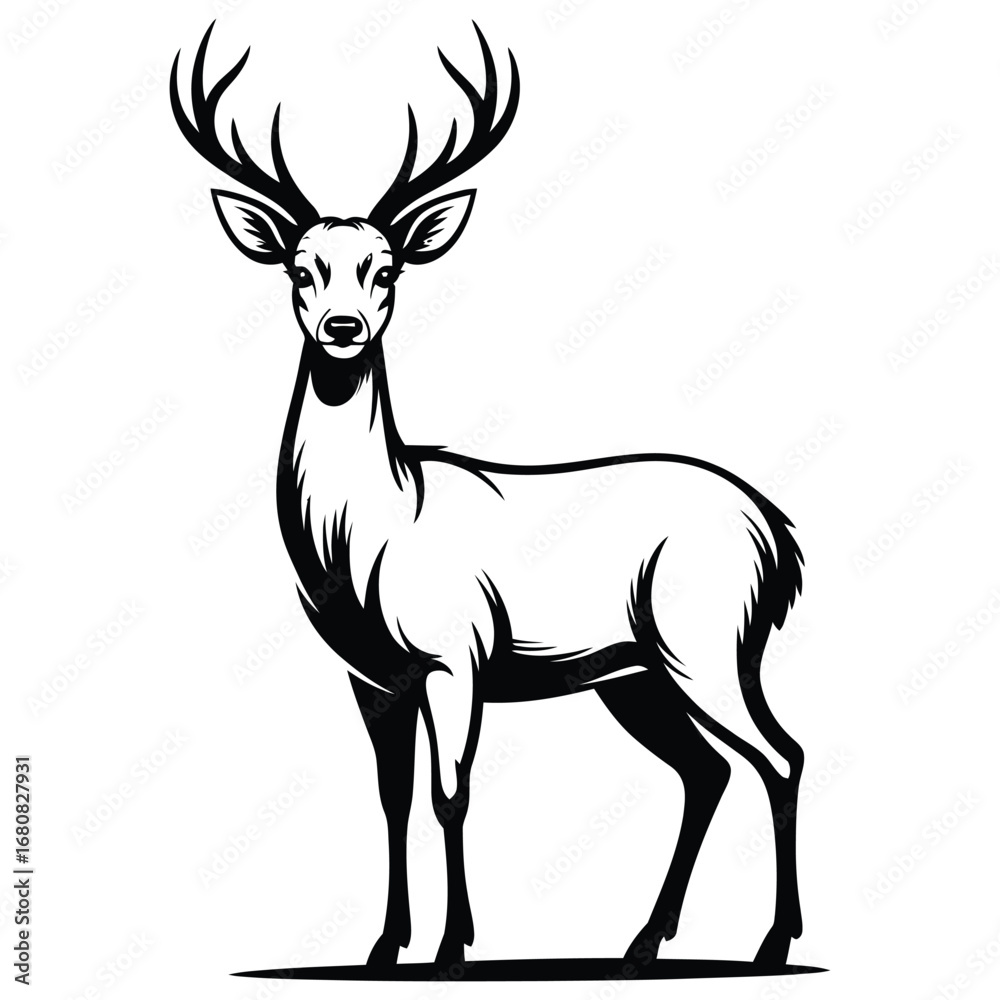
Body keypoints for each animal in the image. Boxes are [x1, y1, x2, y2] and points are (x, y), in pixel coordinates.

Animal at [171, 21, 806, 972]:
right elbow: (391, 797)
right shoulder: (372, 675)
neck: (367, 535)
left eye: (386, 269)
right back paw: (641, 942)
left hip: (710, 640)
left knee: (779, 756)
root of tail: (777, 532)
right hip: (637, 675)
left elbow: (451, 792)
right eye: (301, 268)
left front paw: (451, 946)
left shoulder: (456, 653)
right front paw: (382, 947)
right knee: (709, 770)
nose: (342, 329)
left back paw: (770, 942)